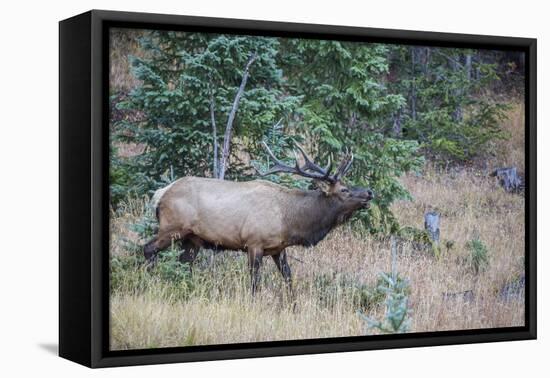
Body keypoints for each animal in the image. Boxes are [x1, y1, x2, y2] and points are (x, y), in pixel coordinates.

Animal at [144, 143, 376, 294]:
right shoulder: (254, 243)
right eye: (344, 190)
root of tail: (160, 194)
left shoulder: (278, 249)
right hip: (172, 228)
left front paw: (293, 306)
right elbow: (255, 282)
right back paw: (147, 282)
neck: (290, 220)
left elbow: (288, 278)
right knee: (148, 248)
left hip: (193, 239)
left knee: (184, 264)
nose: (369, 192)